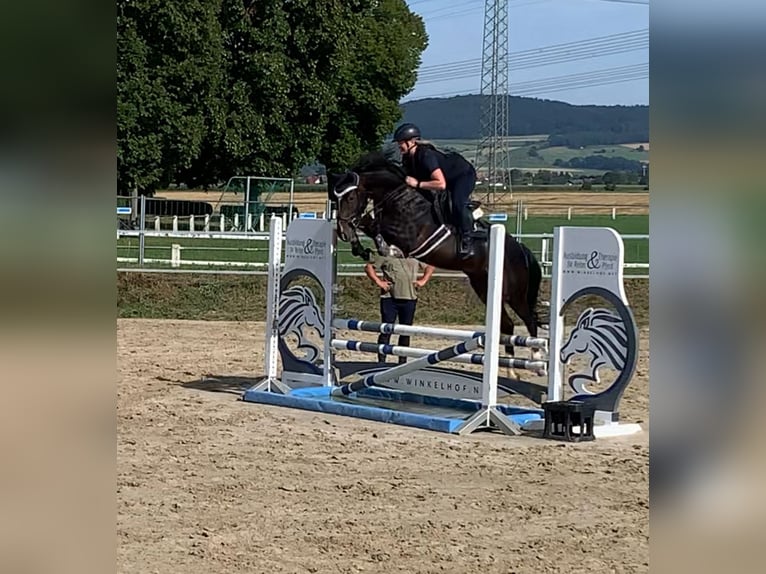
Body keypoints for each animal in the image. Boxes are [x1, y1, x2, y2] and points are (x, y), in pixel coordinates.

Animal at [330, 152, 544, 368]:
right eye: (335, 200)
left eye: (350, 197)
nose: (342, 232)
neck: (399, 198)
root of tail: (520, 249)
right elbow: (370, 225)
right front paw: (359, 247)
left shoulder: (408, 237)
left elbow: (375, 226)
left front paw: (381, 246)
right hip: (484, 286)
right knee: (508, 324)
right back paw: (510, 366)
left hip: (515, 294)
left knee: (529, 320)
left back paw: (535, 358)